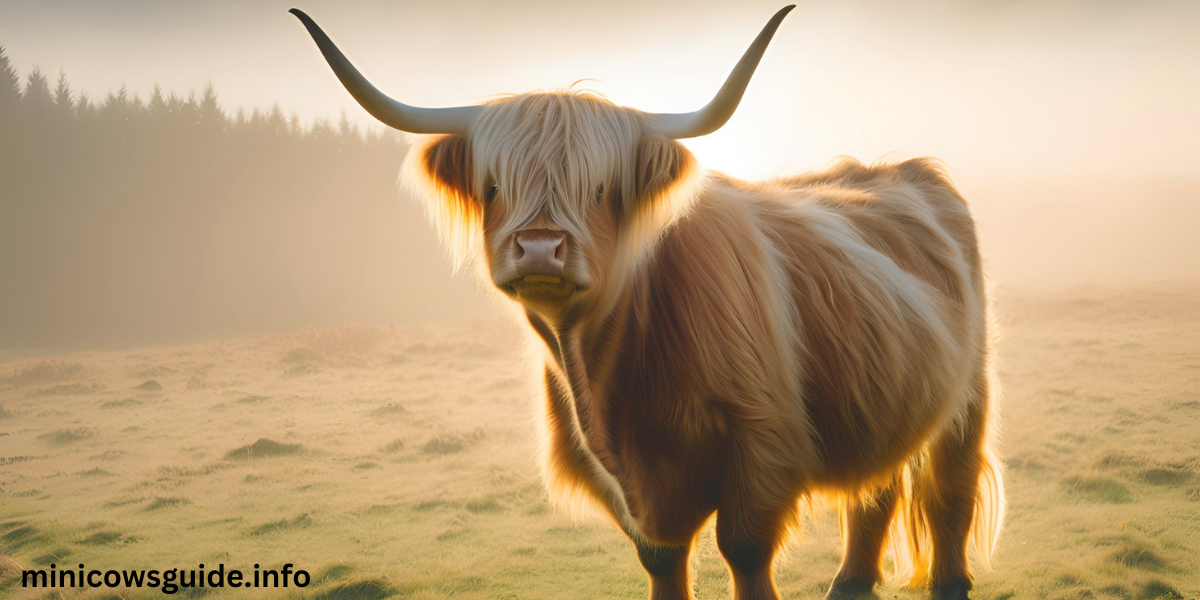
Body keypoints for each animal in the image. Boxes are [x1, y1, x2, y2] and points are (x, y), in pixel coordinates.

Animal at [295, 5, 1008, 600]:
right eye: (493, 186)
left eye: (601, 187)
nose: (539, 248)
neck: (613, 390)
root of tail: (895, 168)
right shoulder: (626, 488)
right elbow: (662, 559)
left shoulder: (763, 443)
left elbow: (744, 551)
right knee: (874, 491)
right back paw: (849, 585)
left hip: (968, 395)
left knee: (949, 491)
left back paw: (949, 583)